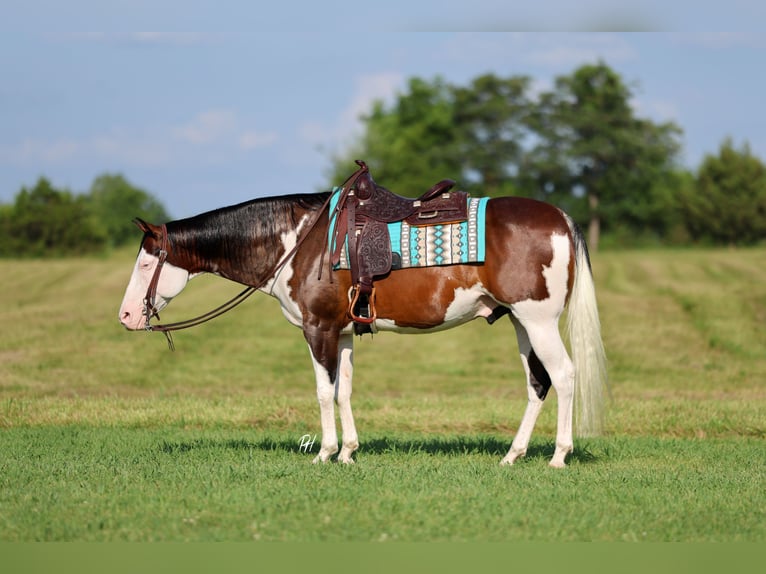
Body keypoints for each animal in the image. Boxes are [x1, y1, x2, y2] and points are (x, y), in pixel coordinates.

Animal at [118, 174, 607, 468]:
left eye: (145, 263)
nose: (124, 316)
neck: (300, 242)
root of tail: (561, 218)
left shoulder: (318, 329)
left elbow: (322, 392)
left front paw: (325, 453)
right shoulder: (344, 332)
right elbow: (343, 391)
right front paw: (349, 452)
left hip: (538, 320)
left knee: (564, 376)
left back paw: (558, 456)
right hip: (521, 323)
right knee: (538, 382)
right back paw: (513, 455)